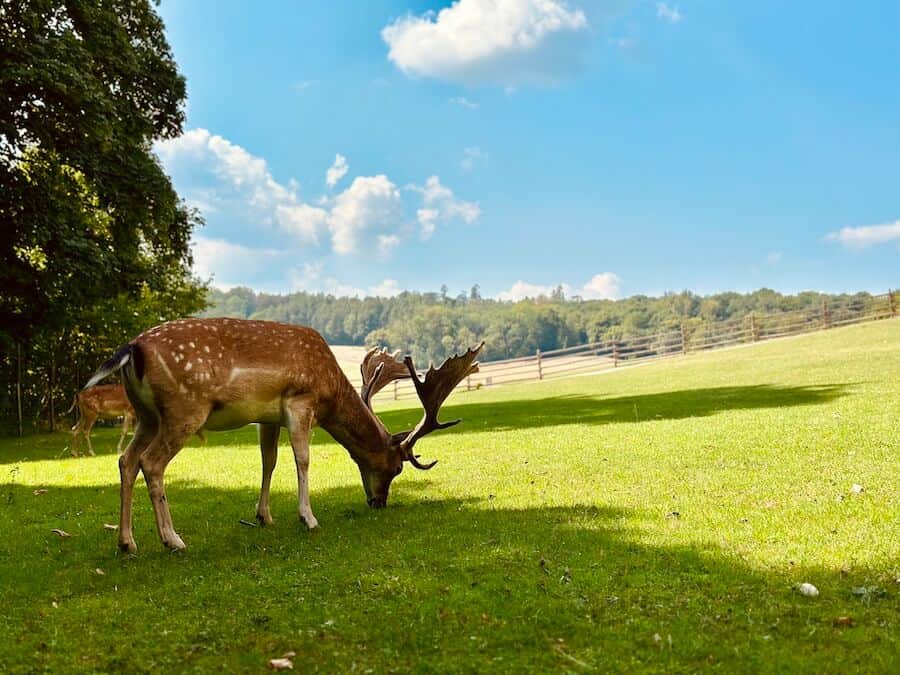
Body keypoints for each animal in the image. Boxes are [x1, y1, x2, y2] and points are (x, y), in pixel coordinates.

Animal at [83, 317, 482, 553]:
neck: (330, 390)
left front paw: (264, 516)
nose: (378, 502)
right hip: (184, 409)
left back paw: (126, 542)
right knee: (151, 463)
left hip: (146, 415)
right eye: (395, 468)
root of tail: (132, 349)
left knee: (126, 460)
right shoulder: (299, 401)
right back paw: (172, 540)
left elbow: (269, 461)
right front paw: (308, 517)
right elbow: (302, 459)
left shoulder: (267, 417)